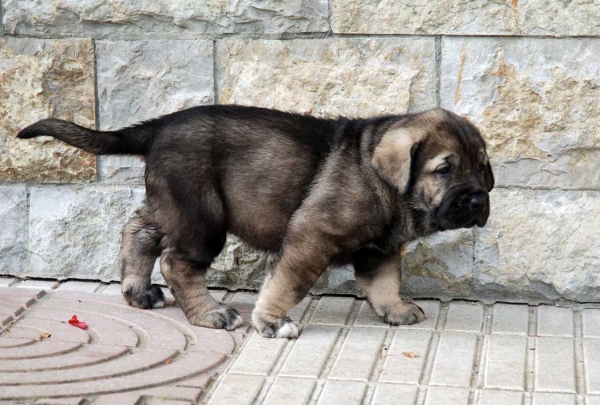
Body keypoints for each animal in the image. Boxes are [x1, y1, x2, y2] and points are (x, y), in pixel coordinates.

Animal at [19, 105, 496, 338]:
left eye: (482, 167)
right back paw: (211, 315)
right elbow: (287, 284)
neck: (383, 180)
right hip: (201, 217)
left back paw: (138, 292)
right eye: (444, 170)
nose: (477, 200)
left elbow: (384, 282)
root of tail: (158, 128)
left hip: (173, 207)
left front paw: (396, 310)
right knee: (177, 263)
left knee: (138, 231)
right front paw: (269, 322)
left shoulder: (379, 248)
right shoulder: (311, 237)